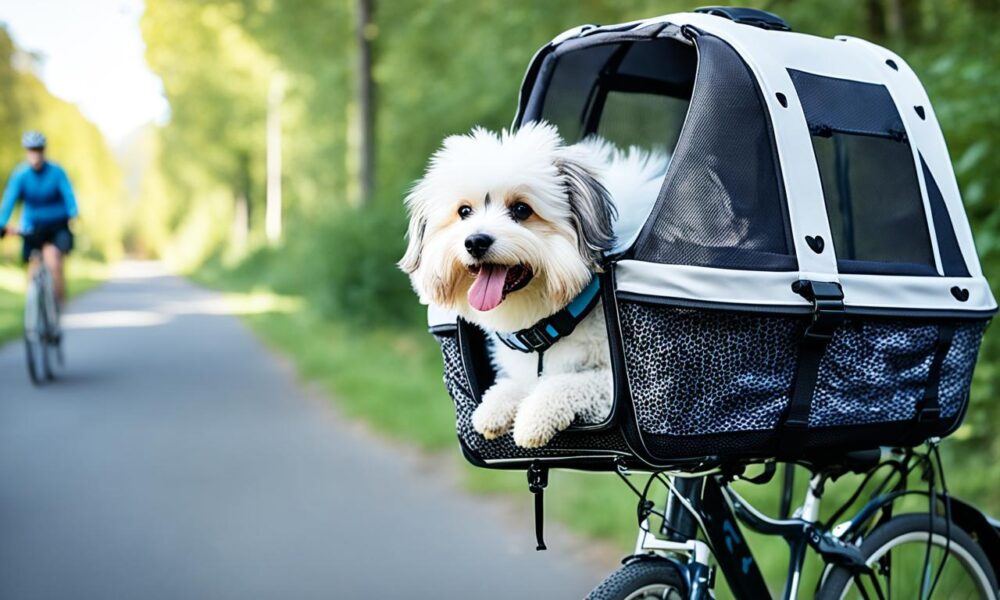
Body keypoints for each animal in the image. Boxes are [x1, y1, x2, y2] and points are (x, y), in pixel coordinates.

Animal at [402, 122, 668, 448]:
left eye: (521, 210)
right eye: (464, 211)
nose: (475, 242)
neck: (552, 323)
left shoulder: (618, 389)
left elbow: (568, 382)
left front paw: (534, 415)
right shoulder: (525, 370)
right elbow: (514, 383)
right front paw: (494, 406)